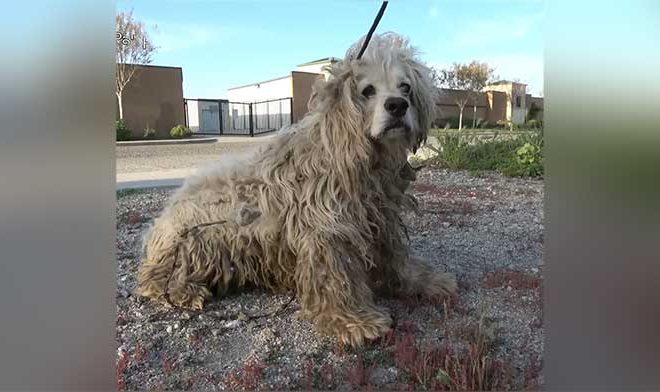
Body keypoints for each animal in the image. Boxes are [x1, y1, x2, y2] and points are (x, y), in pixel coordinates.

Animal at [137, 34, 456, 346]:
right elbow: (336, 279)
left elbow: (396, 259)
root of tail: (161, 221)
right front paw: (354, 320)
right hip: (200, 242)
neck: (352, 154)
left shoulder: (380, 220)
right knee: (154, 278)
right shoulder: (327, 232)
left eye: (405, 87)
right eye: (367, 91)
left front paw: (422, 281)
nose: (397, 105)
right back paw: (184, 290)